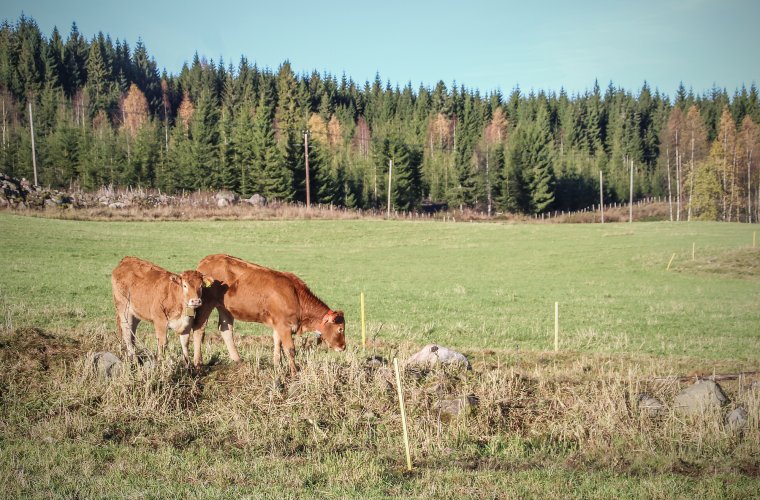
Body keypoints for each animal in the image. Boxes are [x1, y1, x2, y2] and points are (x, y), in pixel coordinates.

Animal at [193, 254, 348, 376]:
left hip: (224, 308)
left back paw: (239, 362)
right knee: (199, 329)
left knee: (226, 330)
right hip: (206, 303)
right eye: (340, 329)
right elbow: (290, 350)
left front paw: (277, 366)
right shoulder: (284, 325)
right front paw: (295, 372)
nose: (343, 347)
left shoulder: (279, 324)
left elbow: (277, 344)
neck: (296, 295)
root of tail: (207, 260)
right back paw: (198, 364)